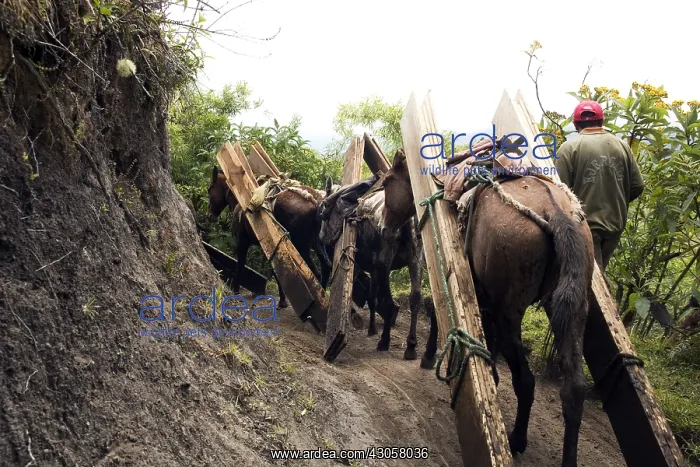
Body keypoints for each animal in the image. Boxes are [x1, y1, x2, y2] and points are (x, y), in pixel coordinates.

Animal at [317, 150, 425, 360]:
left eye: (323, 211)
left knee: (389, 303)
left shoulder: (367, 266)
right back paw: (410, 346)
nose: (322, 237)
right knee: (415, 299)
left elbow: (368, 295)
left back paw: (384, 341)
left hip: (384, 264)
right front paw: (373, 327)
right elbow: (373, 298)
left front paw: (364, 323)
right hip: (415, 261)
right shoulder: (375, 269)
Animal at [381, 150, 595, 467]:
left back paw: (516, 439)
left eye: (386, 183)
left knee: (525, 380)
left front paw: (428, 355)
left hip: (510, 313)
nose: (383, 226)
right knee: (574, 390)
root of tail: (553, 211)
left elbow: (439, 311)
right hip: (574, 309)